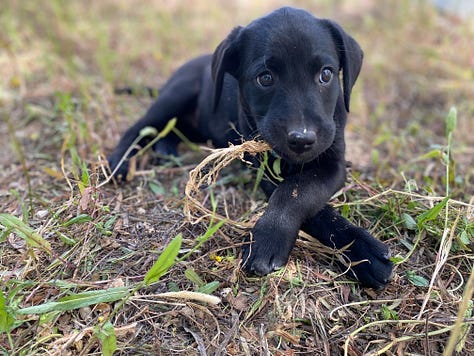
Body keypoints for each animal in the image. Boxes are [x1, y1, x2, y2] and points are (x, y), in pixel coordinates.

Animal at [109, 6, 394, 290]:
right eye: (265, 78)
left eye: (326, 74)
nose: (302, 139)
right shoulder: (266, 167)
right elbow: (295, 193)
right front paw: (270, 239)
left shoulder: (333, 162)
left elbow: (300, 190)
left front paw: (362, 250)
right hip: (174, 97)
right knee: (138, 128)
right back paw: (119, 163)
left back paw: (166, 149)